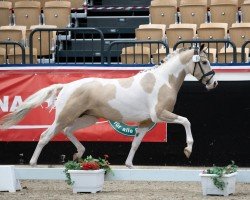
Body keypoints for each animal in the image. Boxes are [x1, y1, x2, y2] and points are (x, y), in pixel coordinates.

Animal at [0, 44, 217, 168]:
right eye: (205, 62)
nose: (214, 83)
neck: (163, 80)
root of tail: (67, 86)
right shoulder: (160, 114)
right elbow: (186, 121)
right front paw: (188, 149)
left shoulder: (147, 122)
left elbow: (135, 143)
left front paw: (129, 165)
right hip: (65, 116)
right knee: (46, 135)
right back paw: (33, 163)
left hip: (87, 118)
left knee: (68, 131)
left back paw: (78, 154)